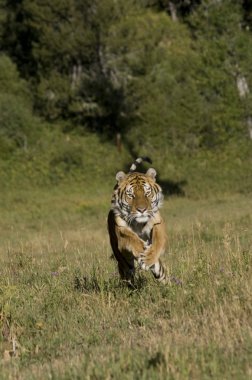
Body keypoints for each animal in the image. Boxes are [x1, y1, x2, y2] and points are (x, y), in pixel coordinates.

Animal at [107, 156, 168, 284]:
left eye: (147, 193)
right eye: (131, 195)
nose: (142, 209)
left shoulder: (158, 222)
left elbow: (158, 240)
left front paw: (148, 257)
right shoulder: (121, 229)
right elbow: (132, 238)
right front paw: (142, 250)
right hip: (123, 262)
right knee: (127, 272)